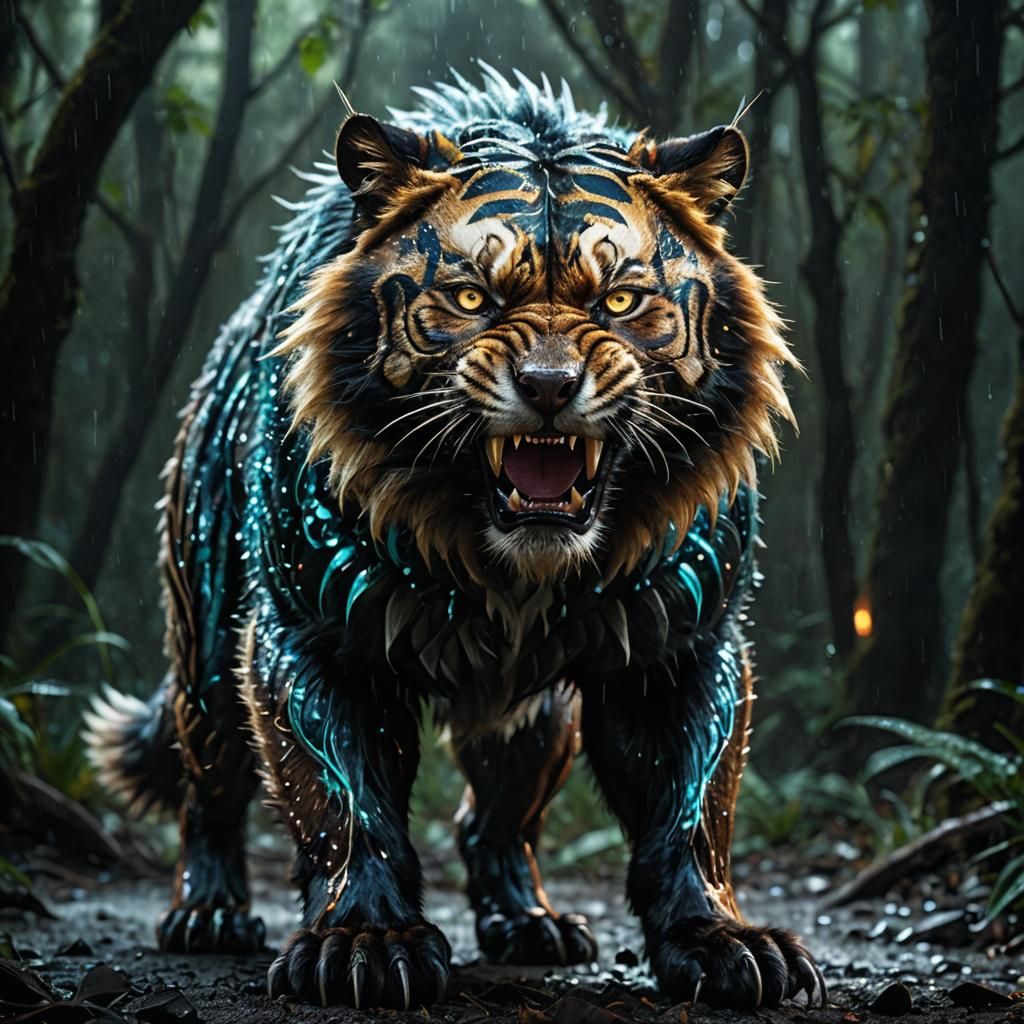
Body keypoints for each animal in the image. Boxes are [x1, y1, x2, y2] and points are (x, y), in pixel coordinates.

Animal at [84, 66, 825, 1012]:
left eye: (619, 299)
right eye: (474, 297)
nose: (549, 385)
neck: (510, 567)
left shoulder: (680, 645)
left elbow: (694, 803)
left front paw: (722, 940)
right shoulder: (313, 635)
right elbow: (341, 801)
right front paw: (364, 944)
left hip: (534, 720)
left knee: (492, 817)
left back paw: (530, 923)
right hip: (209, 650)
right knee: (209, 783)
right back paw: (208, 914)